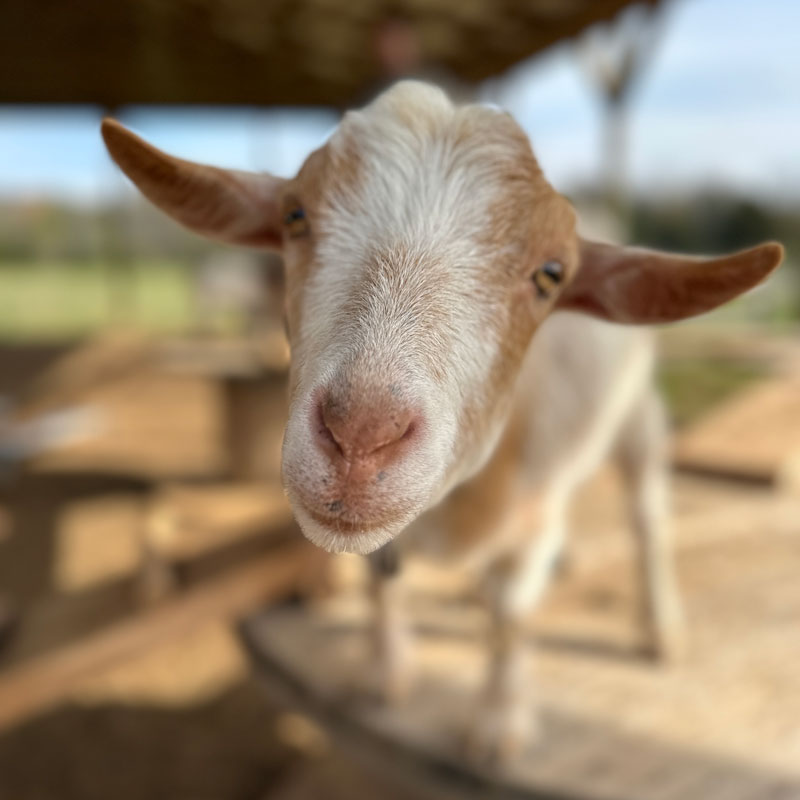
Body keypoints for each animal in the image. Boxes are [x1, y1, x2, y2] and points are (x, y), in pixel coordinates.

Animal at [101, 82, 783, 762]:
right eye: (294, 217)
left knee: (646, 512)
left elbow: (510, 614)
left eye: (552, 274)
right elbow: (382, 584)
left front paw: (499, 727)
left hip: (637, 411)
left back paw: (660, 628)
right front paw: (385, 675)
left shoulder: (534, 512)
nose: (361, 436)